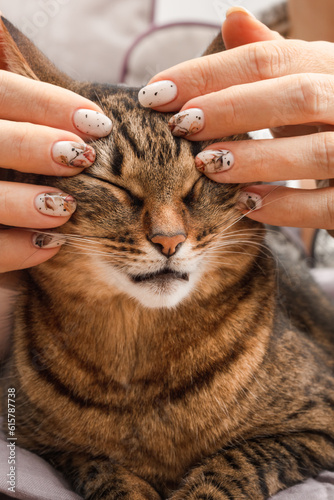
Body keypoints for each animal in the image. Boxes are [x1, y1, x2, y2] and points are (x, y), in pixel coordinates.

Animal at [0, 10, 334, 500]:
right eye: (112, 185)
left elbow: (236, 462)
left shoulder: (317, 423)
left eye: (199, 181)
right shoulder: (36, 443)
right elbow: (99, 466)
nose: (170, 241)